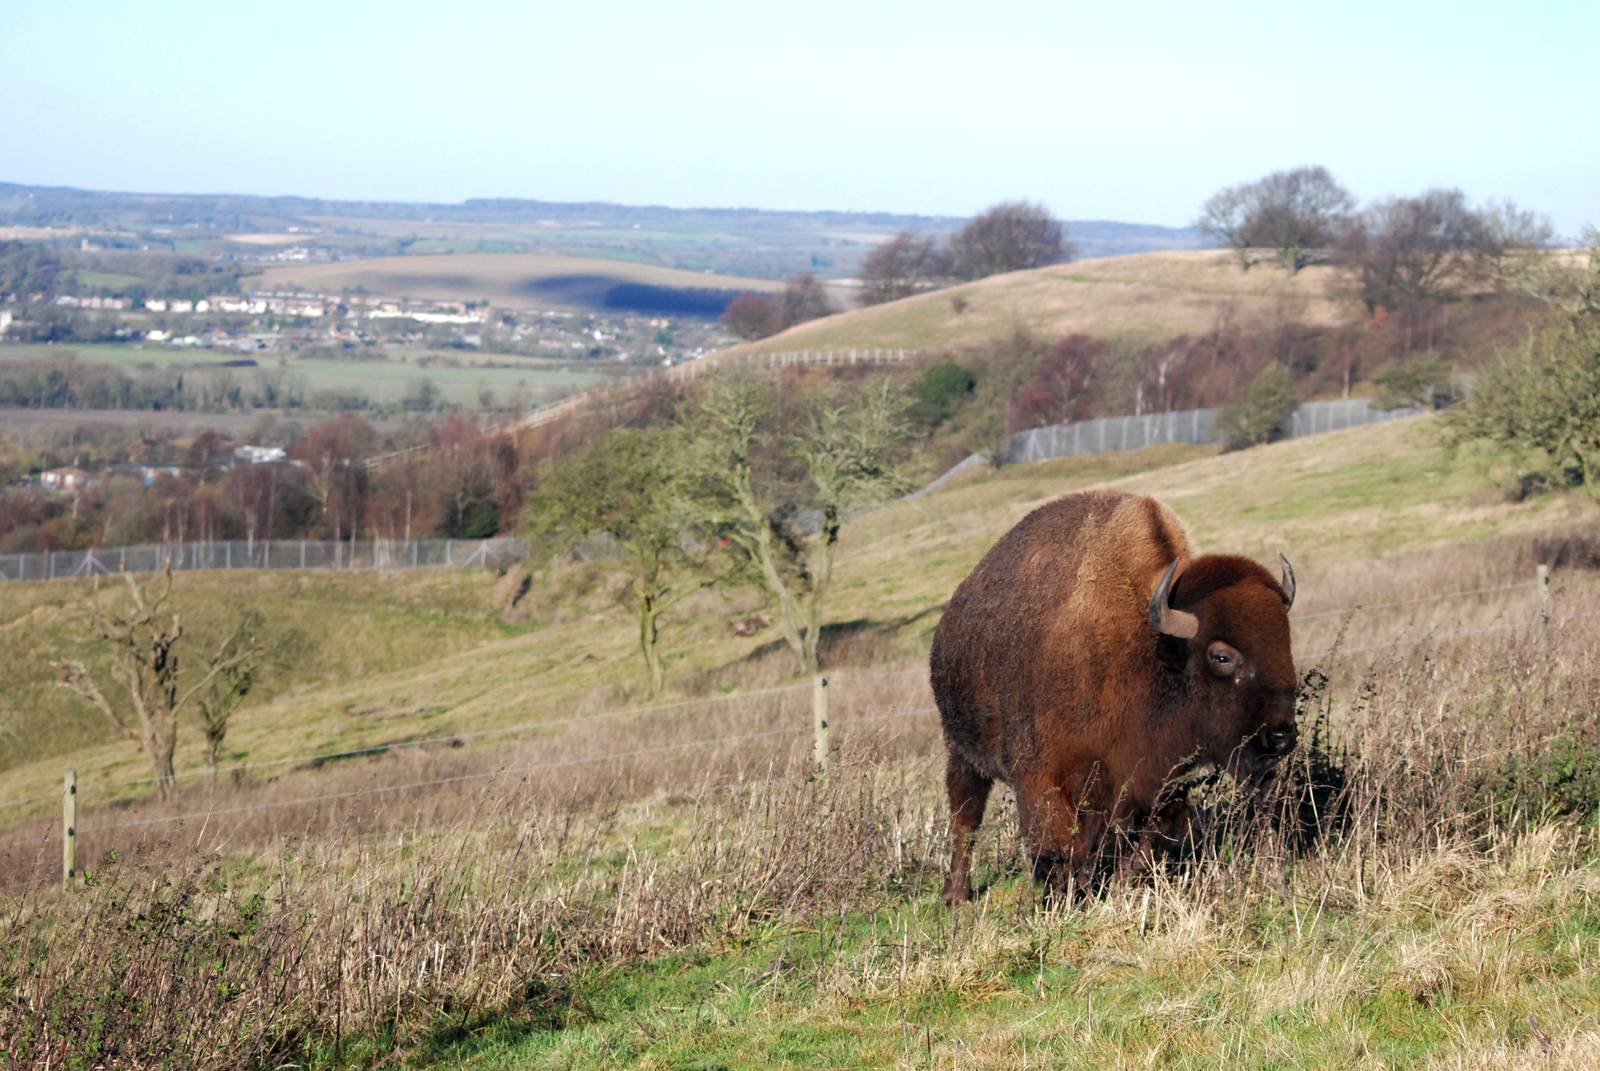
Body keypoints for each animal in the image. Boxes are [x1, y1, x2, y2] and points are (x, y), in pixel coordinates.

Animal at [930, 489, 1297, 903]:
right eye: (1221, 656)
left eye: (1285, 641)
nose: (1280, 737)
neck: (1151, 649)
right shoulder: (1043, 777)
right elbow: (1056, 846)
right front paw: (1064, 900)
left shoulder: (1154, 782)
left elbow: (1146, 840)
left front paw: (1117, 888)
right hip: (962, 753)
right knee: (966, 820)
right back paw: (956, 896)